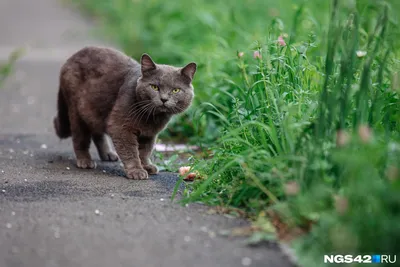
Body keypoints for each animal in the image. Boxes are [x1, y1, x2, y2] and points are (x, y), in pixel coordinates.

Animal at [54, 46, 196, 180]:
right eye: (154, 87)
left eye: (175, 90)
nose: (164, 99)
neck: (152, 118)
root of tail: (71, 58)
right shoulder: (120, 126)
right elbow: (130, 151)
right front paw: (136, 171)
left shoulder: (149, 134)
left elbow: (144, 151)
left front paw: (146, 166)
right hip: (76, 110)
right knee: (80, 138)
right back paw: (85, 161)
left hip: (95, 110)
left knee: (97, 132)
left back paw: (108, 154)